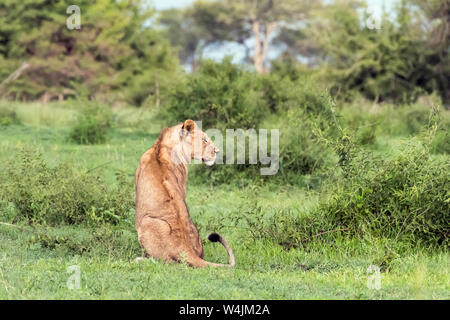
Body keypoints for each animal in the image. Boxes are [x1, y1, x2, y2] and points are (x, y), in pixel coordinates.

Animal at [134, 119, 236, 266]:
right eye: (205, 139)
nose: (217, 151)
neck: (162, 146)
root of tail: (185, 248)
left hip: (147, 222)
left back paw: (141, 259)